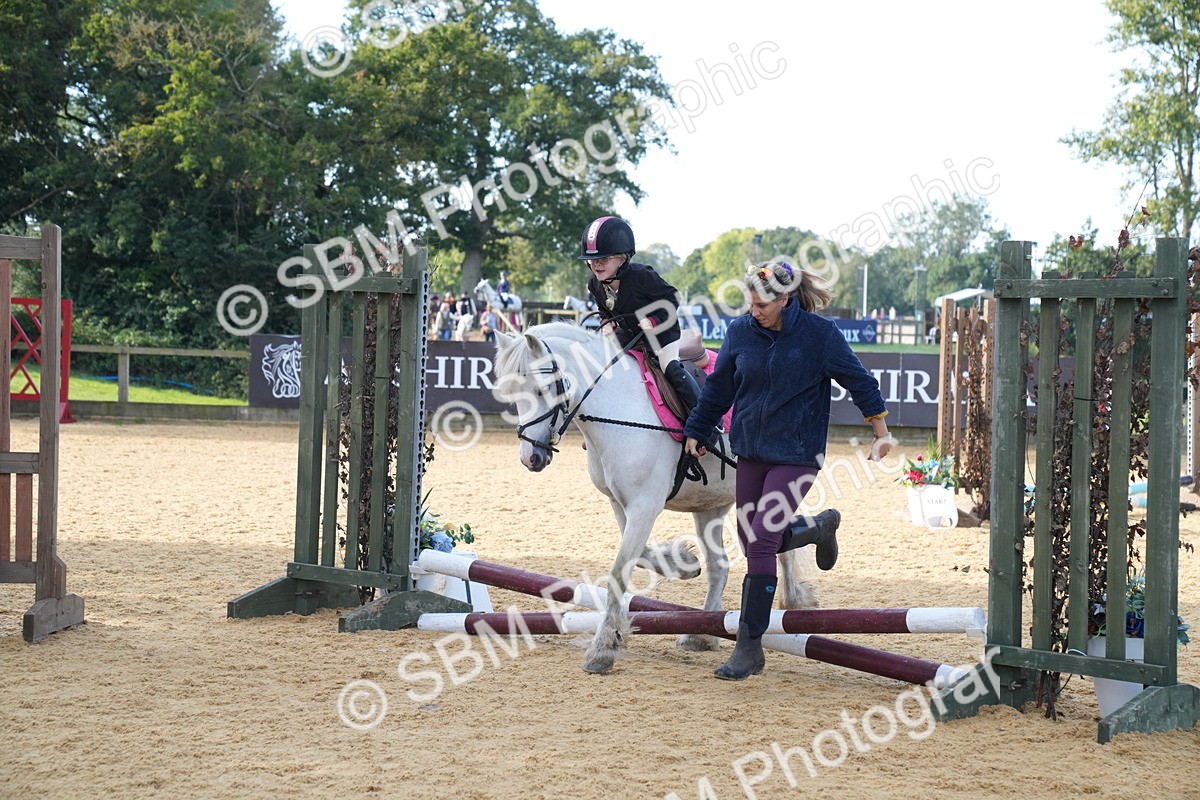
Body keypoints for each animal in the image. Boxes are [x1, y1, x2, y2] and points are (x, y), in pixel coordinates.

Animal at [492, 322, 815, 674]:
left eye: (542, 390)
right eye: (512, 395)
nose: (531, 458)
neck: (620, 408)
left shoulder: (645, 505)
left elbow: (619, 570)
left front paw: (602, 649)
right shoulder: (621, 504)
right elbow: (642, 555)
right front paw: (682, 563)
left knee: (782, 550)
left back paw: (795, 598)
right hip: (711, 504)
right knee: (720, 566)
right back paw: (701, 635)